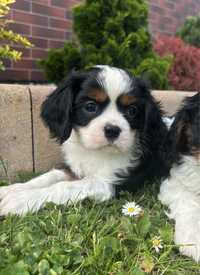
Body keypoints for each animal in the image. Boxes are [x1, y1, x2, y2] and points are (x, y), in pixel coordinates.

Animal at [0, 66, 168, 217]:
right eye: (90, 107)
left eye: (132, 111)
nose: (113, 130)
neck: (94, 152)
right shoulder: (72, 168)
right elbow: (49, 176)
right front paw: (11, 190)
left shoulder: (107, 183)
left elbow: (63, 187)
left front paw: (21, 199)